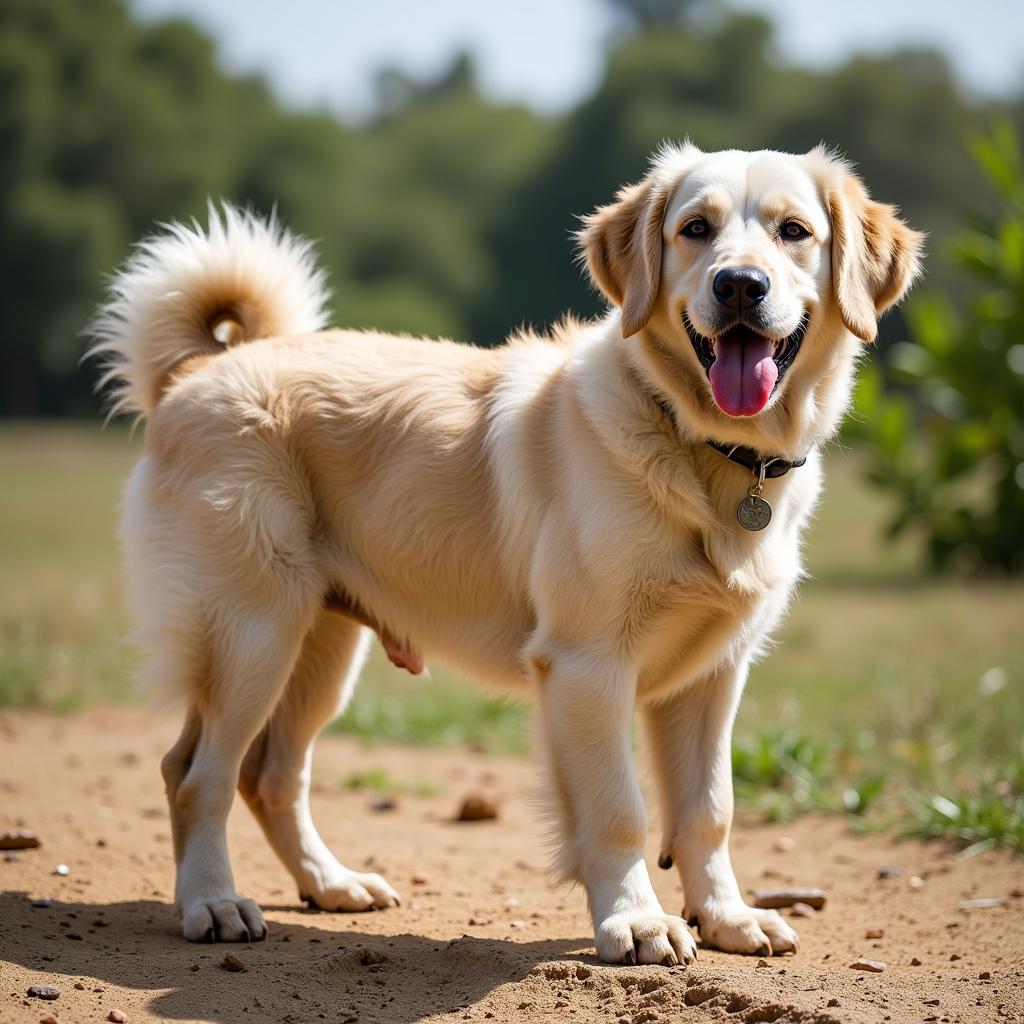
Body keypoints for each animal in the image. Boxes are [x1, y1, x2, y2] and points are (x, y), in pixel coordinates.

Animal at [92, 146, 925, 966]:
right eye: (696, 228)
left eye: (793, 231)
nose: (740, 285)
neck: (706, 450)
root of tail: (199, 368)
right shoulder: (587, 665)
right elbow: (619, 811)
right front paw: (638, 923)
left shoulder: (714, 675)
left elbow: (707, 810)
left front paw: (727, 918)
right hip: (252, 632)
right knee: (196, 774)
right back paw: (214, 903)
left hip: (320, 649)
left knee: (271, 774)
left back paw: (331, 884)